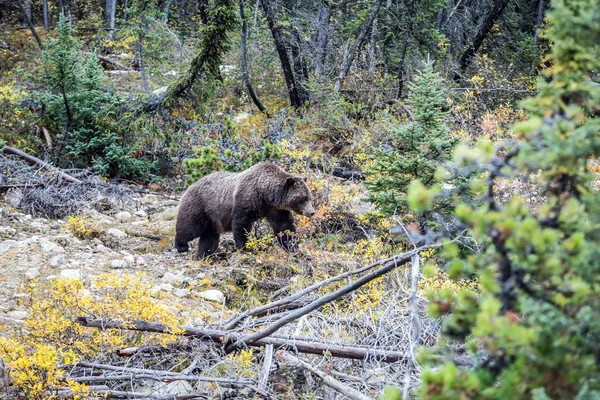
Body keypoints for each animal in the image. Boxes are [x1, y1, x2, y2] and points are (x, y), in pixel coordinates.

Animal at [173, 162, 316, 260]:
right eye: (303, 198)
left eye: (309, 196)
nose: (312, 212)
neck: (265, 195)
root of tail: (191, 185)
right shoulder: (246, 200)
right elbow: (241, 224)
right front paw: (246, 249)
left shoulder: (275, 209)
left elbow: (284, 227)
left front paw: (293, 246)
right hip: (201, 205)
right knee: (190, 227)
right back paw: (181, 245)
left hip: (212, 219)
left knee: (209, 237)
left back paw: (204, 255)